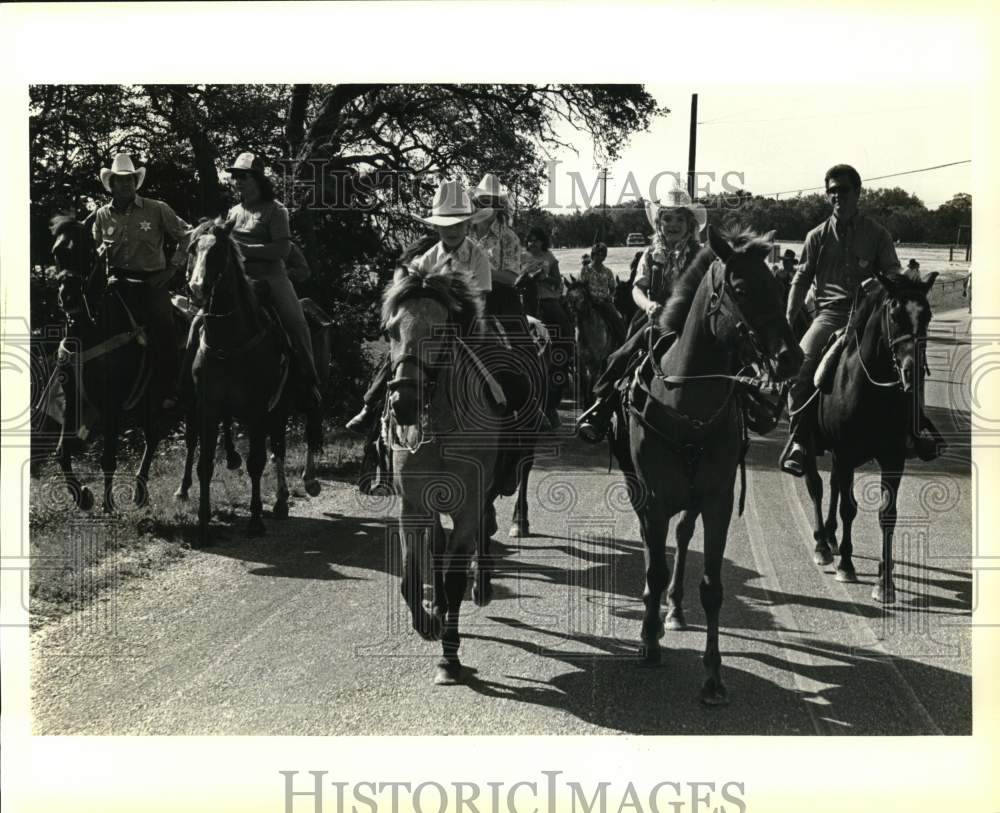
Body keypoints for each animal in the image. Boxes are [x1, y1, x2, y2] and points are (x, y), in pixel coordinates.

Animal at [47, 214, 169, 508]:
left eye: (90, 252)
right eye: (57, 252)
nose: (68, 297)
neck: (91, 328)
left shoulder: (111, 403)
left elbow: (108, 459)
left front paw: (108, 504)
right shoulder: (72, 400)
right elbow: (62, 451)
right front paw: (82, 496)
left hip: (157, 397)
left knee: (158, 435)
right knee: (152, 435)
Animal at [184, 219, 328, 544]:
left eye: (218, 251)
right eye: (192, 248)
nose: (197, 288)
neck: (229, 342)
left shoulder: (257, 409)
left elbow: (255, 462)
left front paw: (255, 521)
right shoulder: (208, 408)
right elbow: (205, 464)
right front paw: (203, 525)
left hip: (302, 395)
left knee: (308, 429)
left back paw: (308, 482)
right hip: (279, 408)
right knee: (280, 446)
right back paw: (281, 501)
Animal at [384, 266, 508, 684]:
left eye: (439, 330)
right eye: (391, 331)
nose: (403, 402)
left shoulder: (467, 506)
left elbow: (455, 577)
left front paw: (449, 657)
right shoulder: (412, 508)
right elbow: (410, 577)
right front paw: (428, 622)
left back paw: (481, 586)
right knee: (437, 548)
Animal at [608, 225, 804, 700]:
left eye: (780, 285)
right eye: (741, 287)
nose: (791, 357)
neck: (685, 404)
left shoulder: (718, 500)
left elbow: (712, 587)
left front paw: (713, 675)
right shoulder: (655, 497)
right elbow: (655, 566)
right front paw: (648, 641)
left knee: (681, 538)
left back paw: (675, 610)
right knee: (652, 546)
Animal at [804, 270, 936, 600]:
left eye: (927, 315)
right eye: (894, 313)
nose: (912, 372)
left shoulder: (893, 458)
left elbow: (887, 514)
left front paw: (885, 582)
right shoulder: (845, 452)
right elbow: (849, 508)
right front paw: (846, 566)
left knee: (834, 486)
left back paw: (831, 536)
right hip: (813, 447)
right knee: (817, 487)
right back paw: (822, 545)